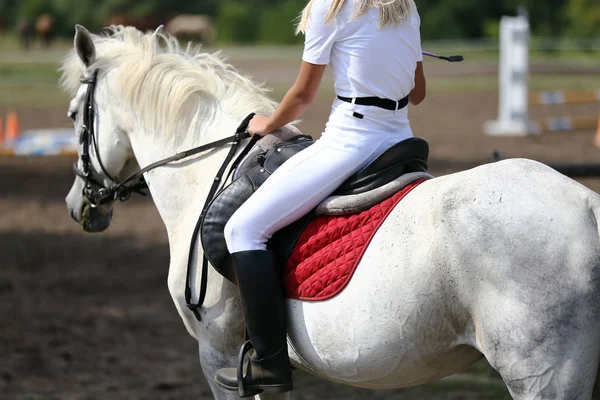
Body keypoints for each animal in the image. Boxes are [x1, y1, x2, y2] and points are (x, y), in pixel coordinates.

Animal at [62, 25, 600, 400]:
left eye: (72, 115)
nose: (77, 204)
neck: (209, 171)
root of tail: (587, 205)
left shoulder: (217, 352)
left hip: (542, 375)